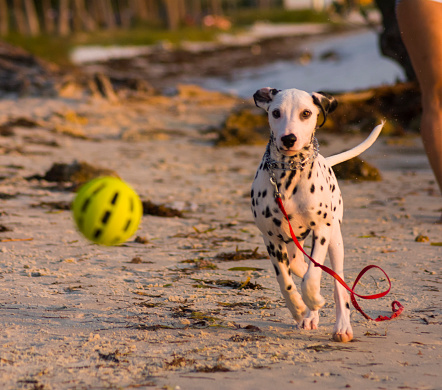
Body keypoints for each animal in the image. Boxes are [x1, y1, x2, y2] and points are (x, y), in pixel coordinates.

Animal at [252, 87, 384, 342]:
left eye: (306, 113)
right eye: (276, 112)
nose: (289, 139)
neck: (289, 174)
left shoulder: (322, 230)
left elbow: (312, 277)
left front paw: (312, 298)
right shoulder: (271, 239)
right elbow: (286, 281)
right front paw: (298, 308)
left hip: (335, 240)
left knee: (336, 282)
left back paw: (341, 326)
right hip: (292, 246)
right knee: (300, 267)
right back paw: (309, 315)